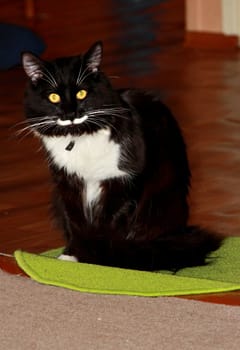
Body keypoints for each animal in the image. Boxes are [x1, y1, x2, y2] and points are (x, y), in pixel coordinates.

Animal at [21, 41, 223, 270]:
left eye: (82, 93)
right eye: (53, 97)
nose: (70, 114)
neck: (80, 136)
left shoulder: (124, 181)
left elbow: (108, 224)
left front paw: (99, 260)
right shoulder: (67, 182)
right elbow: (75, 222)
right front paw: (72, 256)